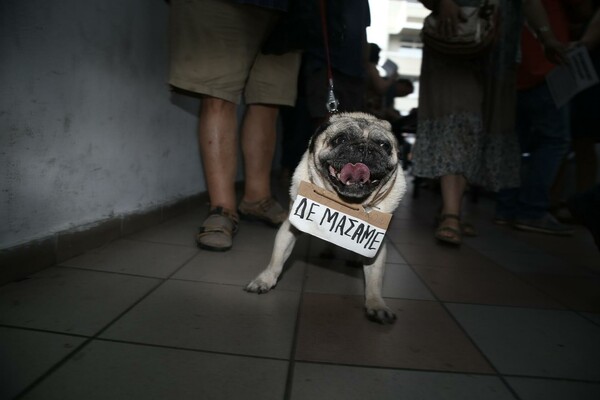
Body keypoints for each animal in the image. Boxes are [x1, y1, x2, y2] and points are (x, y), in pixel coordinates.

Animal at [245, 111, 408, 324]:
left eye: (384, 145)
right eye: (341, 139)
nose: (364, 148)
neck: (346, 203)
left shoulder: (375, 245)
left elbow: (375, 279)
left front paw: (376, 304)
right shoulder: (289, 227)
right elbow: (277, 259)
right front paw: (265, 279)